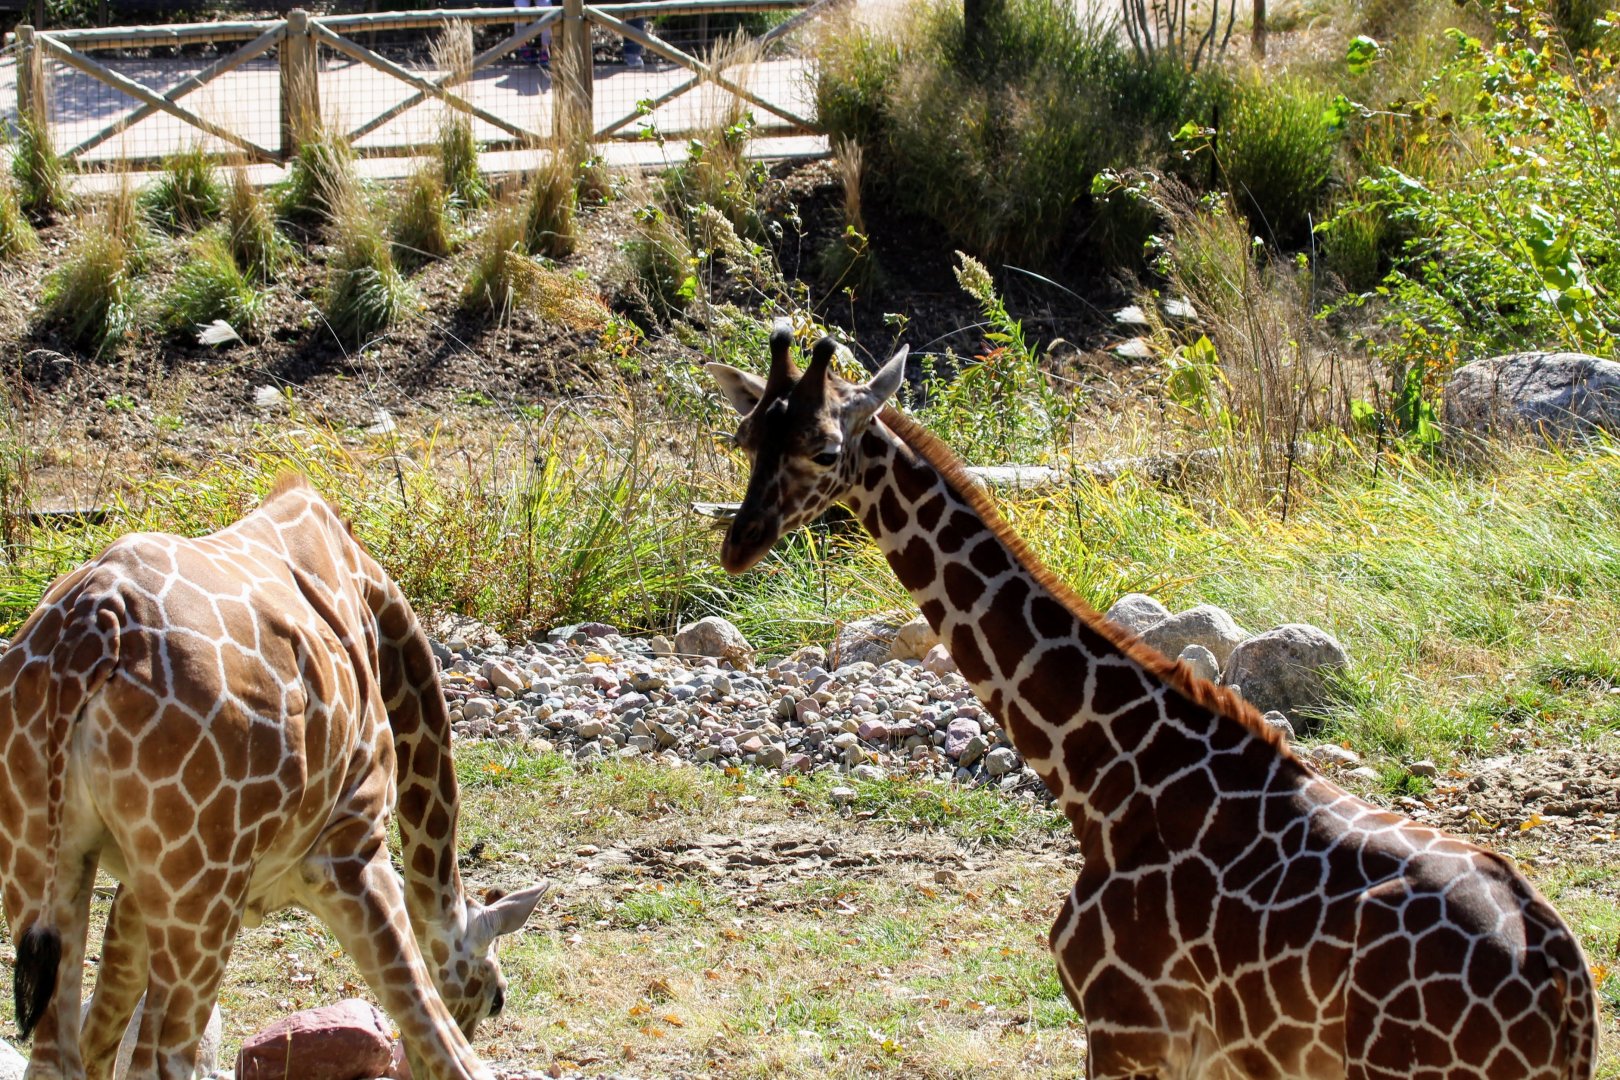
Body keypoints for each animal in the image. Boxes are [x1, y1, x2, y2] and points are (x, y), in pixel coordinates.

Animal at [0, 474, 546, 1080]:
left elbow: (101, 1032)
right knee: (162, 1058)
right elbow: (453, 1050)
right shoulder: (349, 847)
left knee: (58, 1053)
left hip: (43, 861)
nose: (406, 1071)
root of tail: (90, 631)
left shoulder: (135, 889)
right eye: (497, 996)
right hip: (206, 888)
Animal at [707, 325, 1599, 1079]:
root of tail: (1566, 992)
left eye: (826, 447)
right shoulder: (1209, 1052)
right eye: (746, 438)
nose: (739, 544)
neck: (1102, 781)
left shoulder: (1128, 1025)